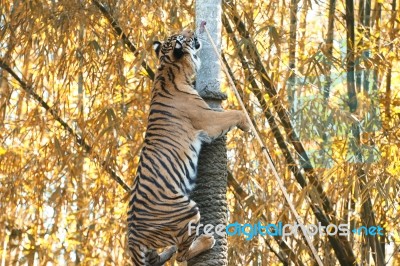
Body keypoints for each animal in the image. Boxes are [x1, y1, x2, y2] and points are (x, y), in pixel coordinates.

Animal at [126, 29, 248, 266]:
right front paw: (247, 122)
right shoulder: (208, 120)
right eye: (183, 36)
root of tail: (133, 239)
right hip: (187, 211)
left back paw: (168, 251)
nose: (192, 30)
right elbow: (234, 113)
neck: (167, 69)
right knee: (182, 255)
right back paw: (206, 241)